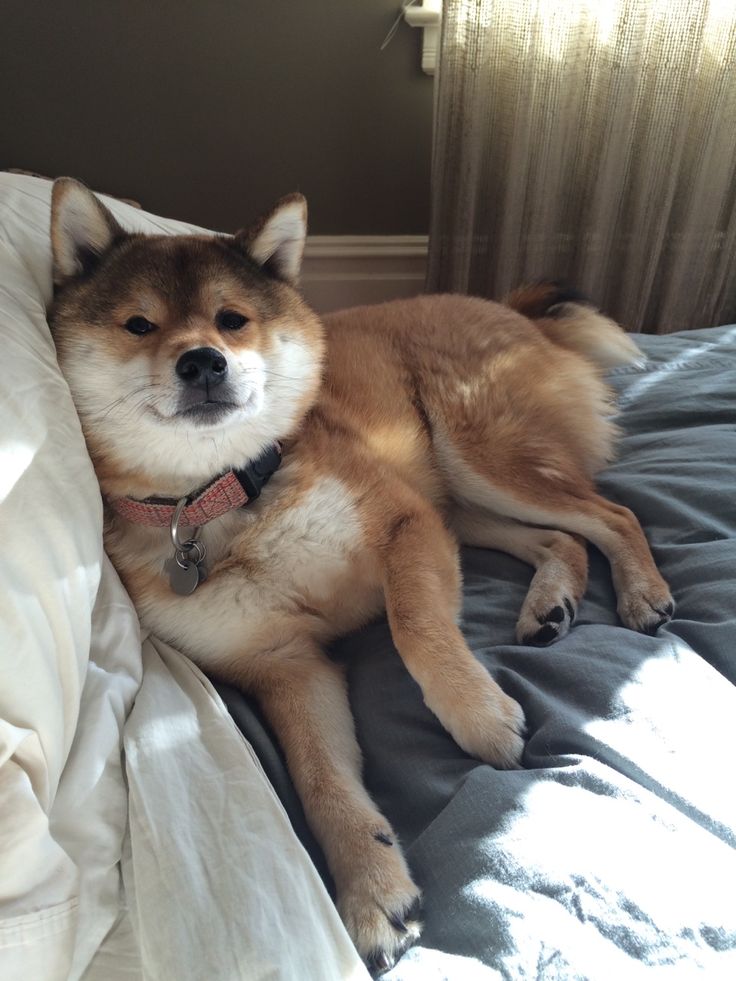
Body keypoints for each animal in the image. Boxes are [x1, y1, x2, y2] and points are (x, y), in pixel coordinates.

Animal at [49, 178, 676, 972]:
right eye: (138, 324)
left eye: (232, 320)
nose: (203, 362)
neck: (223, 499)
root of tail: (512, 309)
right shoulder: (284, 663)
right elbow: (320, 778)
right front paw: (372, 885)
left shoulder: (404, 527)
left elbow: (415, 629)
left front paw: (479, 715)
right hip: (461, 507)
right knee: (564, 538)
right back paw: (552, 603)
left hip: (478, 462)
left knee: (613, 516)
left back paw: (642, 592)